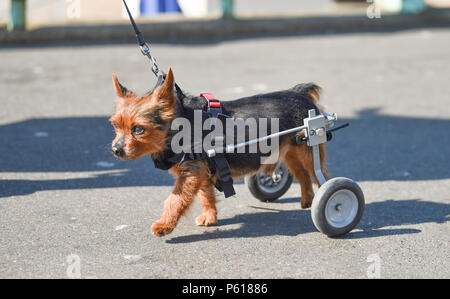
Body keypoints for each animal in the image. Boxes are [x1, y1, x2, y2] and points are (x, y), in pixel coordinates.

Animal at [109, 68, 326, 237]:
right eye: (115, 125)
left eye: (139, 129)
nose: (115, 150)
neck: (181, 125)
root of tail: (299, 92)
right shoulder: (203, 170)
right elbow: (205, 195)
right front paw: (210, 217)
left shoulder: (190, 174)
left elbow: (175, 200)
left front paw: (164, 225)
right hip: (290, 151)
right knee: (302, 174)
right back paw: (307, 200)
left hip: (309, 149)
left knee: (320, 174)